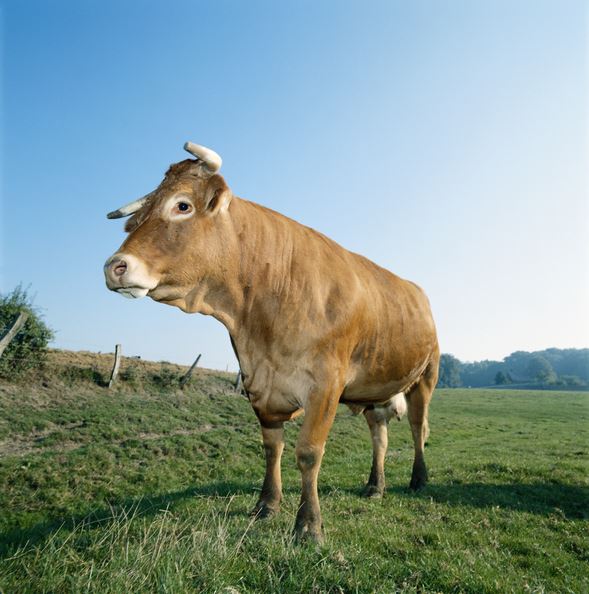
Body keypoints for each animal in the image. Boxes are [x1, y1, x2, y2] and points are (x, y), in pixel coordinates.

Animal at [103, 142, 438, 540]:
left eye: (182, 206)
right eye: (135, 221)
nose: (114, 267)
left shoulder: (326, 385)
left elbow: (308, 452)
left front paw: (308, 525)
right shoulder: (259, 385)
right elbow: (271, 448)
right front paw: (267, 504)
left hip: (425, 377)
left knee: (418, 428)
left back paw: (419, 479)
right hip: (375, 390)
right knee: (380, 435)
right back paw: (375, 485)